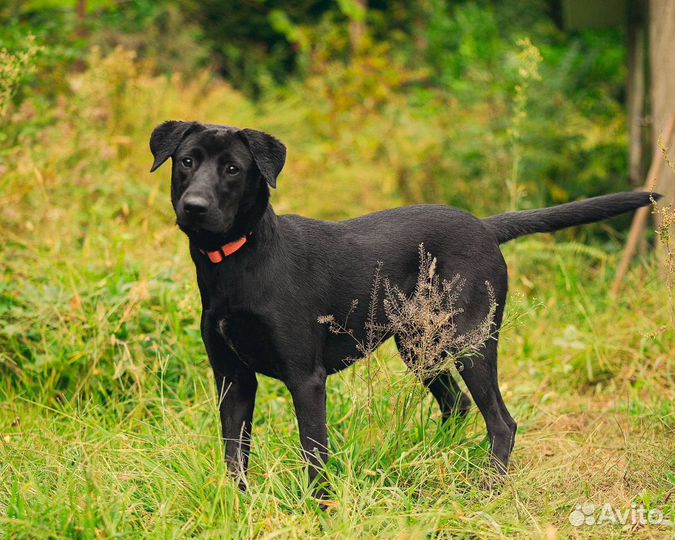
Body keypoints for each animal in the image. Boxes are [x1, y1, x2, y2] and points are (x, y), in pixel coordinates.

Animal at [151, 120, 656, 496]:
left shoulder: (305, 379)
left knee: (501, 421)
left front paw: (318, 509)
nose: (194, 206)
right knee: (457, 406)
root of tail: (486, 227)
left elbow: (314, 452)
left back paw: (488, 486)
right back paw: (431, 456)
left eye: (233, 169)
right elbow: (234, 454)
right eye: (187, 161)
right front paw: (238, 505)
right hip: (420, 348)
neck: (236, 261)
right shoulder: (232, 378)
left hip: (470, 342)